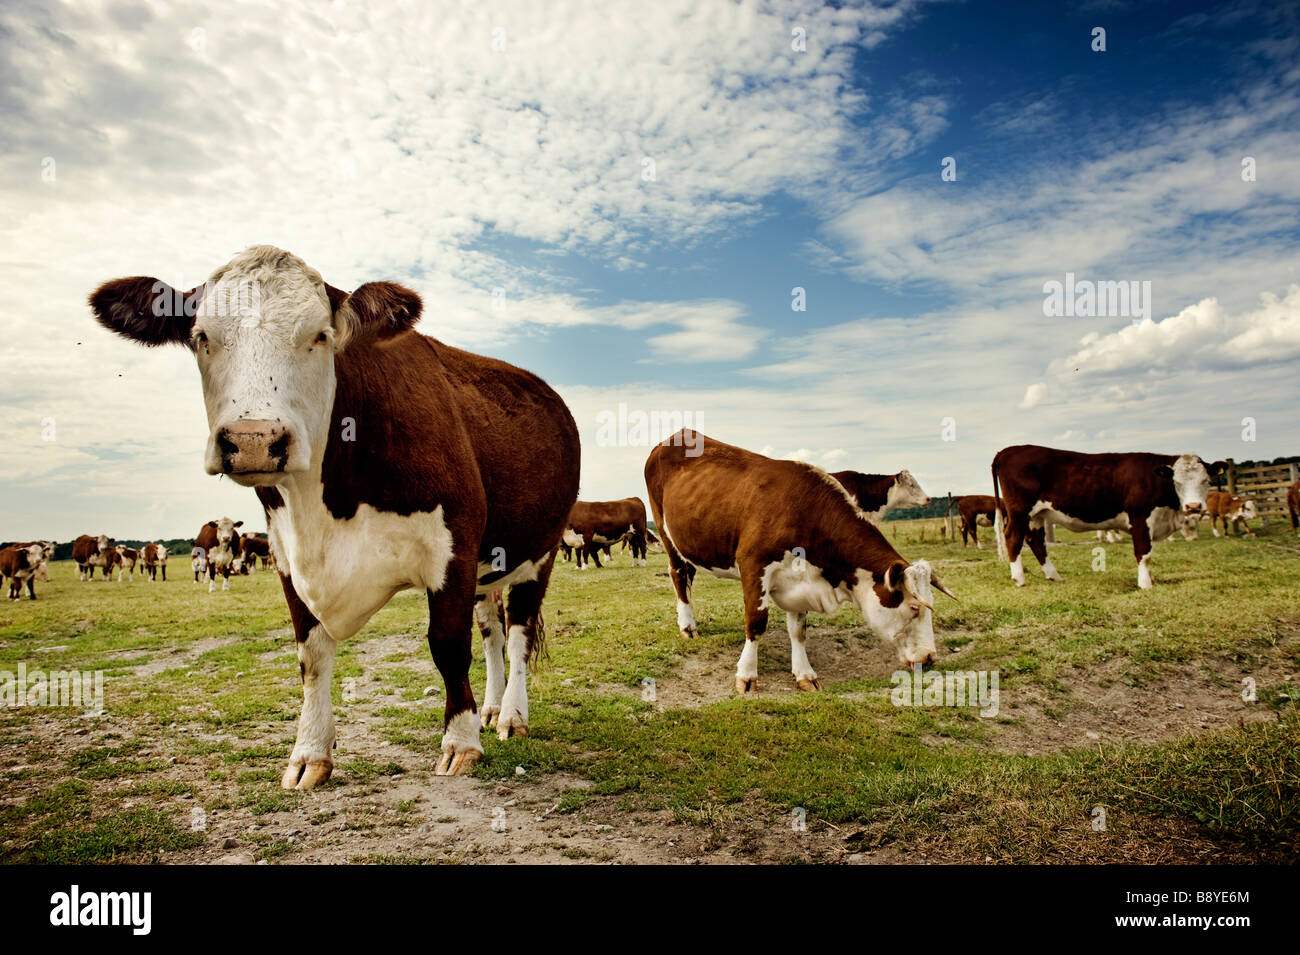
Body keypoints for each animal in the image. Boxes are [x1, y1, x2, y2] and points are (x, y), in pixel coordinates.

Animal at [90, 244, 580, 786]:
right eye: (201, 338)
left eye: (320, 336)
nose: (254, 438)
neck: (327, 506)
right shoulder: (287, 556)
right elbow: (312, 656)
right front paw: (310, 752)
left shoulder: (452, 548)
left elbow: (448, 646)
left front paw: (460, 742)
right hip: (489, 565)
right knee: (493, 631)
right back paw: (492, 709)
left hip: (540, 551)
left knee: (517, 633)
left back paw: (511, 714)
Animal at [645, 431, 955, 694]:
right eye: (914, 607)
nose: (930, 656)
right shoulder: (754, 564)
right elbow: (756, 621)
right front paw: (747, 674)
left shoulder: (800, 579)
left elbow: (798, 629)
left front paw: (804, 673)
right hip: (665, 530)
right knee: (678, 573)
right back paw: (688, 625)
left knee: (688, 573)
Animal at [992, 445, 1220, 590]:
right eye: (1177, 482)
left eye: (1206, 481)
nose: (1193, 506)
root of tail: (1008, 450)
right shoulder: (1140, 518)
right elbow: (1144, 554)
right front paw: (1145, 584)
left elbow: (1148, 554)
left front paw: (1150, 579)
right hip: (1019, 511)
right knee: (1013, 538)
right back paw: (1019, 579)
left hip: (1037, 516)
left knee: (1036, 541)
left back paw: (1054, 576)